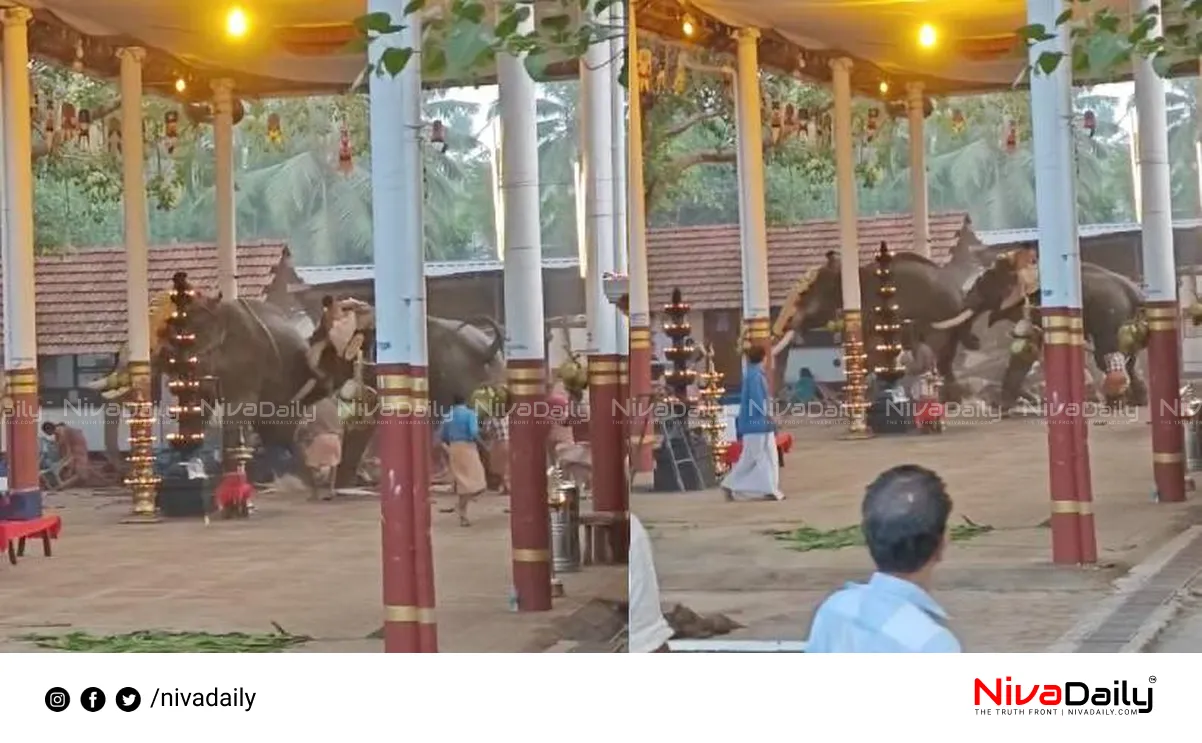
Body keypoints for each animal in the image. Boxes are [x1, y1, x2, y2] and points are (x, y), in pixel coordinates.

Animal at [927, 248, 1144, 411]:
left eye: (983, 288)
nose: (975, 340)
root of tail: (1134, 291)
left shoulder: (1036, 304)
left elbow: (1029, 343)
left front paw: (1003, 406)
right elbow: (1025, 348)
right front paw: (1003, 407)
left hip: (1110, 312)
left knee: (1105, 353)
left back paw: (1114, 403)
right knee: (1127, 356)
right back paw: (1137, 401)